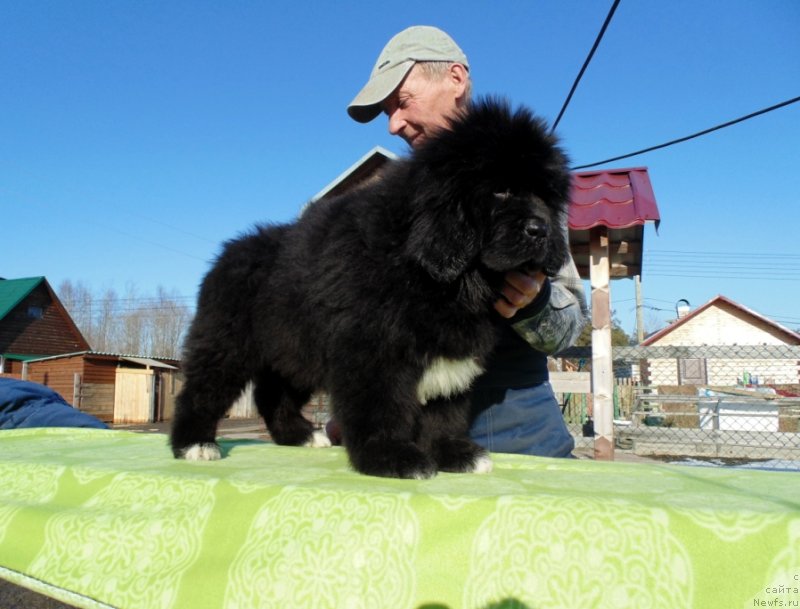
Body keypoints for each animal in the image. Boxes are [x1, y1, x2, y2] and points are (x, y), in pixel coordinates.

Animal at [173, 100, 576, 478]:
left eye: (546, 197)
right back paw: (194, 444)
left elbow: (444, 412)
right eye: (501, 191)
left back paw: (300, 436)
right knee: (201, 390)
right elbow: (382, 408)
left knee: (274, 394)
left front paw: (451, 453)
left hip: (292, 350)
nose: (541, 230)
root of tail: (227, 254)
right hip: (227, 343)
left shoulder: (450, 354)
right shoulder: (370, 352)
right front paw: (390, 457)